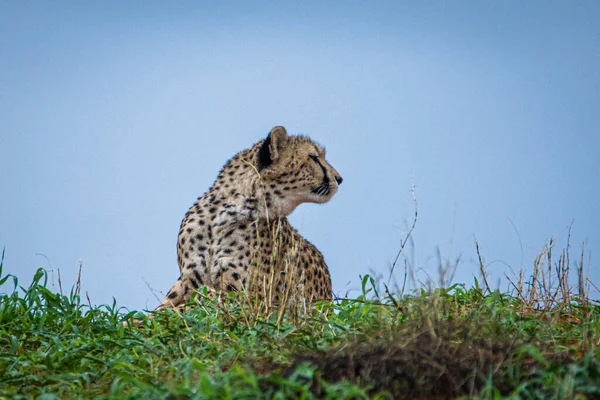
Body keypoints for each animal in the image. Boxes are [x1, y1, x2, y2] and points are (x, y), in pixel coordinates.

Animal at [155, 126, 342, 310]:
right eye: (314, 158)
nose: (339, 178)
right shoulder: (188, 281)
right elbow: (165, 310)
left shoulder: (247, 298)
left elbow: (191, 306)